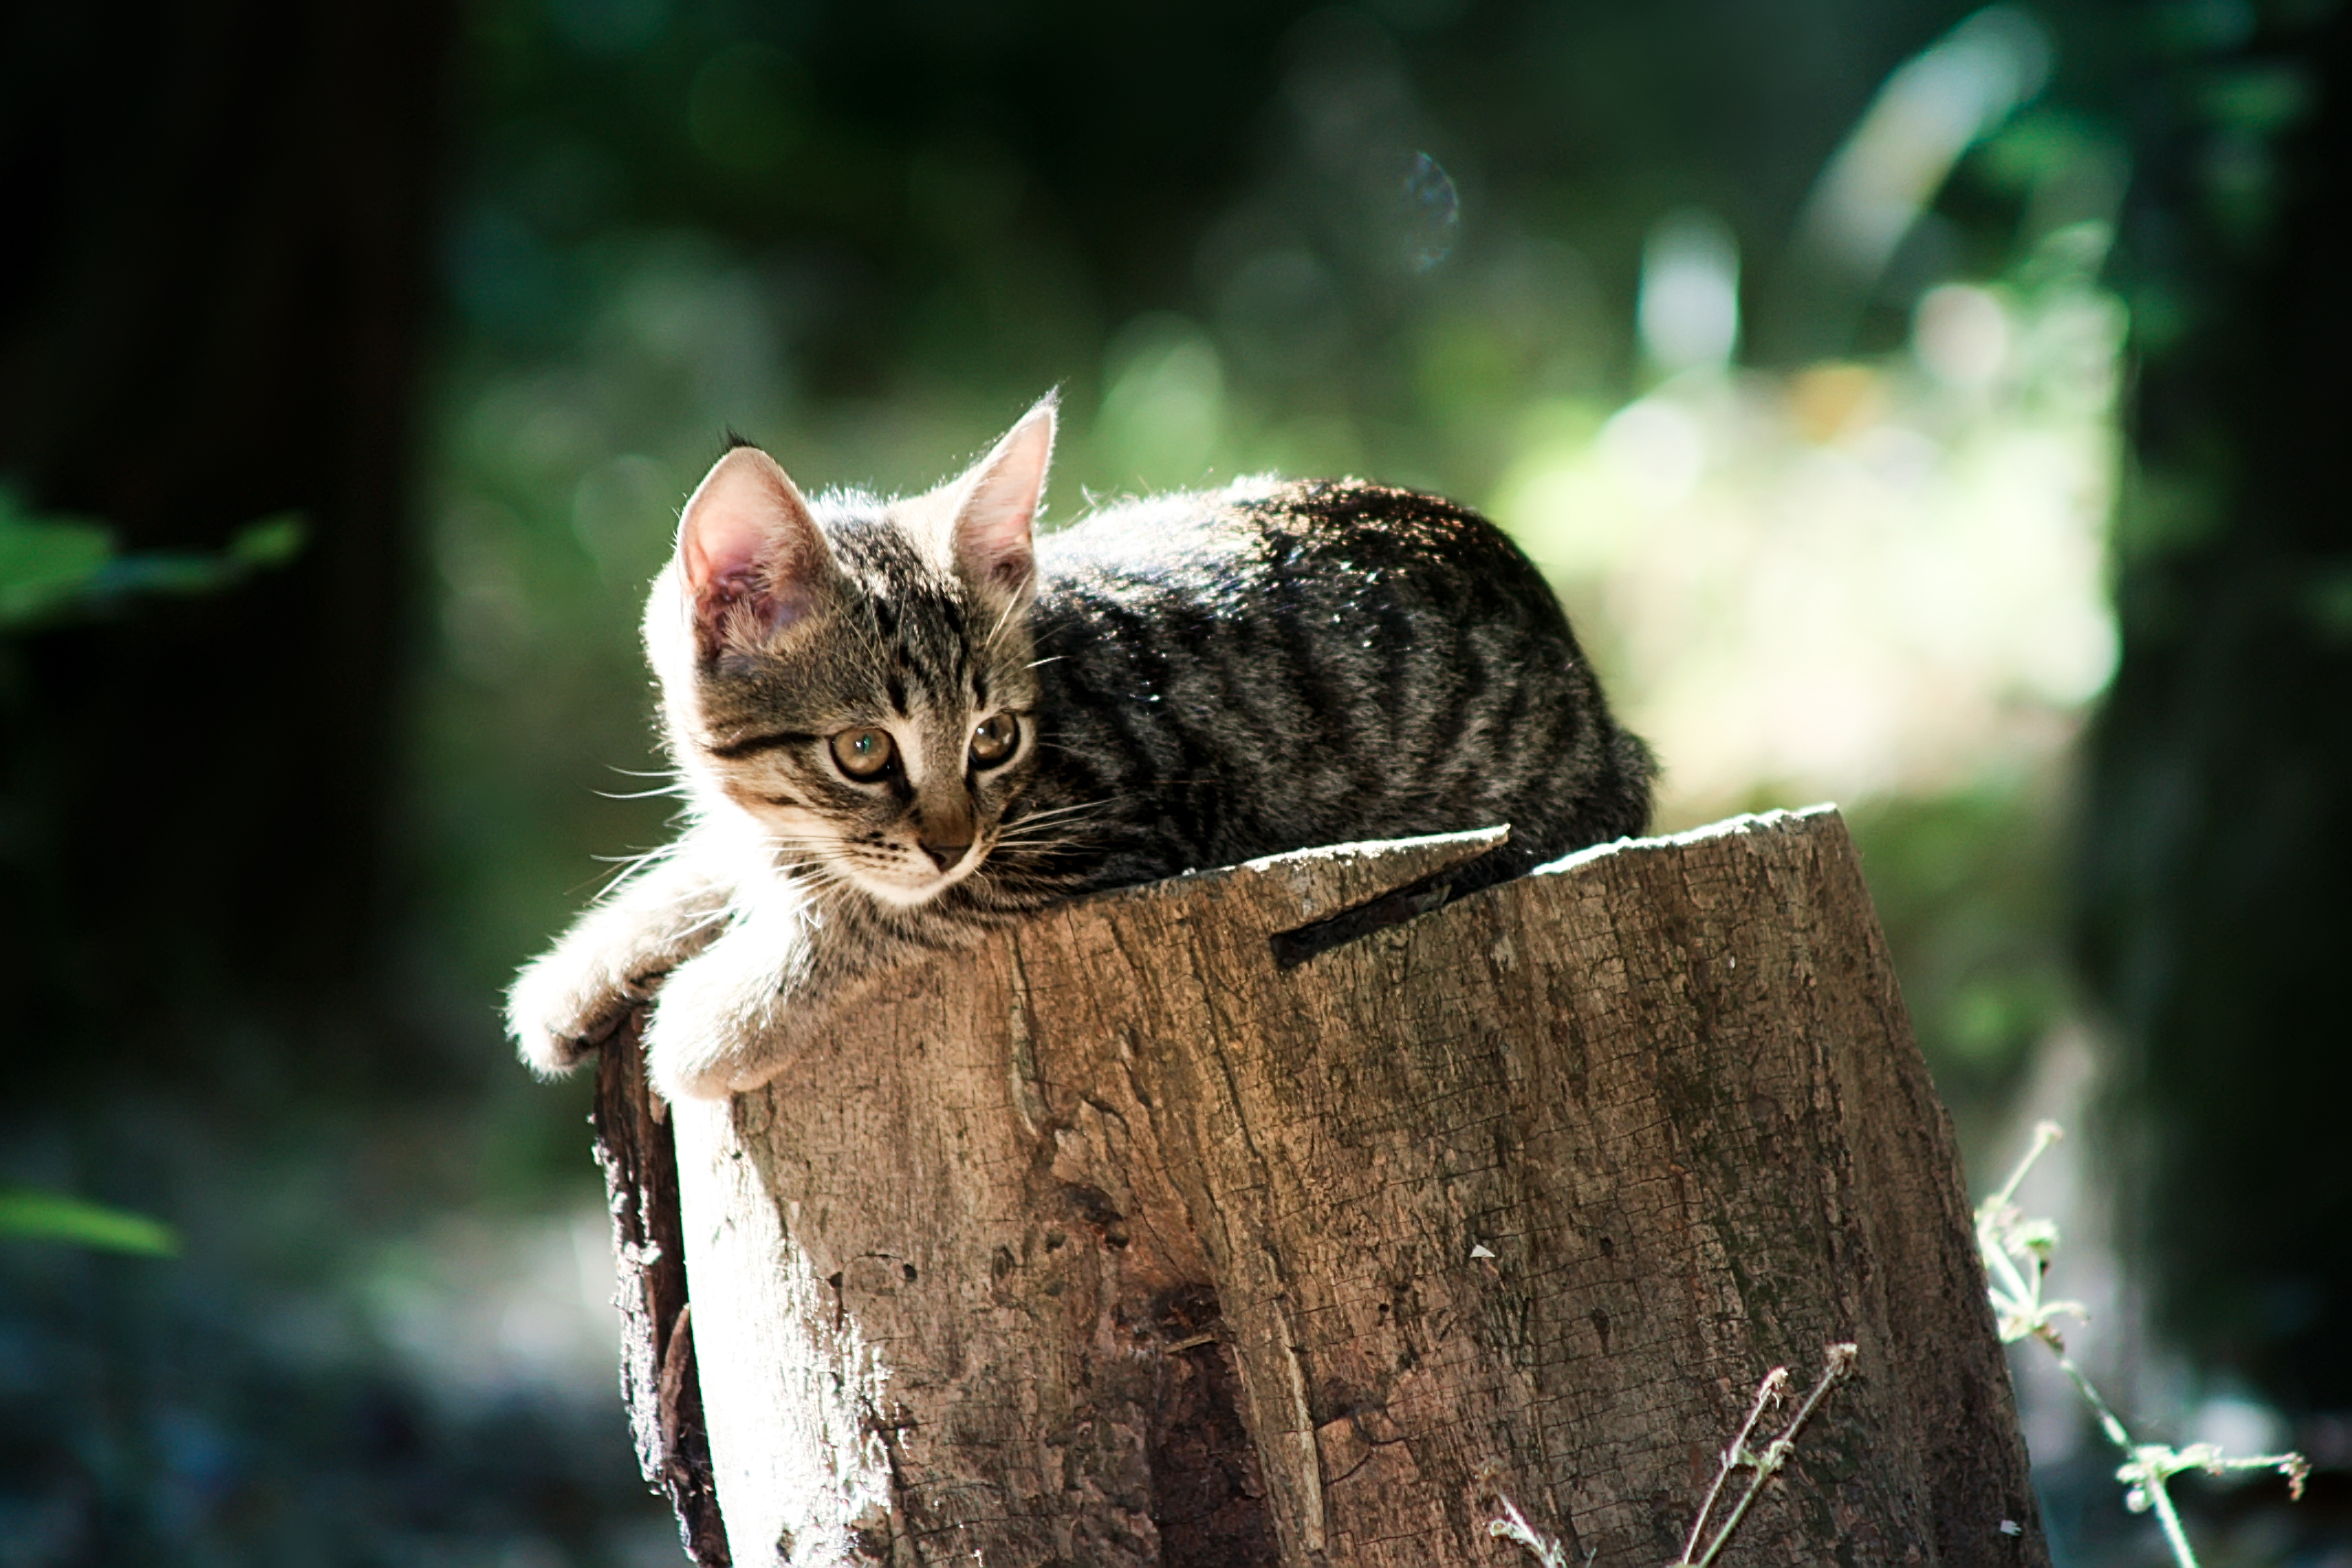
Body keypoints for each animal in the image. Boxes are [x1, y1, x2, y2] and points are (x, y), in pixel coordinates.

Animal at [515, 399, 1656, 1100]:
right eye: (862, 750)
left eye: (993, 738)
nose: (949, 839)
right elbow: (724, 861)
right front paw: (582, 967)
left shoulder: (1110, 826)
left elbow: (886, 914)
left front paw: (714, 1018)